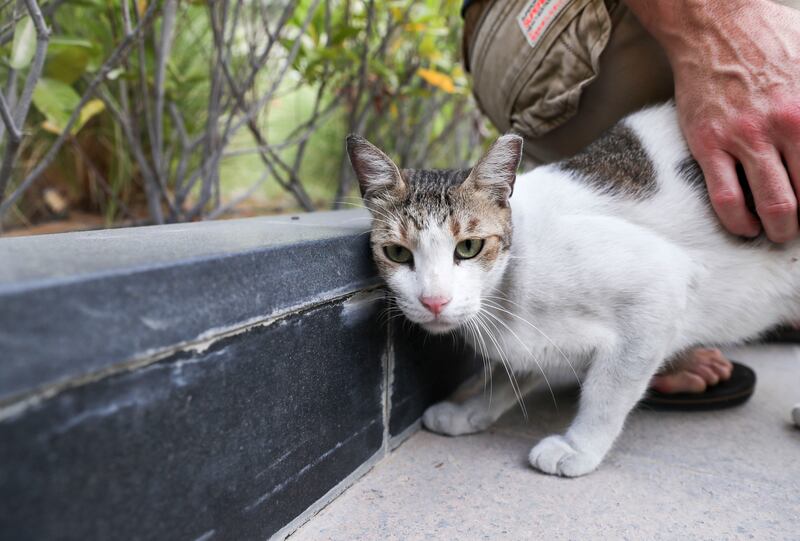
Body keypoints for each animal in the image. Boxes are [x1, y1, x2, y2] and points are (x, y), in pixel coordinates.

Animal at [346, 102, 800, 476]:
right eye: (397, 253)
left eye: (469, 247)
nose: (434, 300)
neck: (508, 294)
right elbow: (508, 373)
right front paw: (470, 413)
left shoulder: (659, 289)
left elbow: (607, 392)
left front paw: (578, 447)